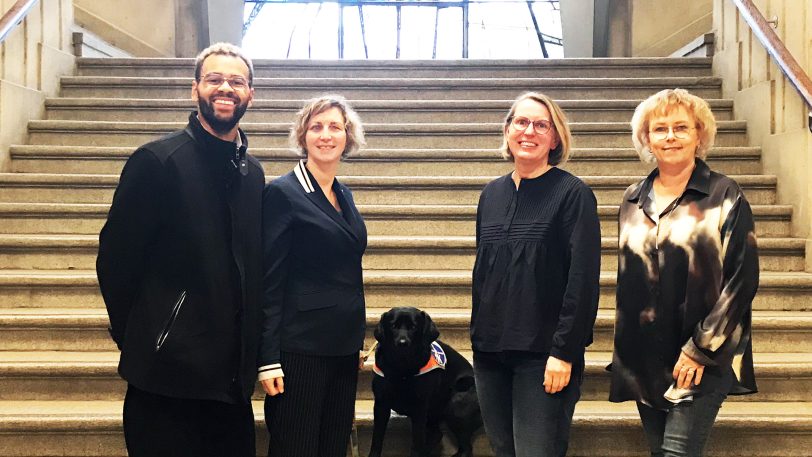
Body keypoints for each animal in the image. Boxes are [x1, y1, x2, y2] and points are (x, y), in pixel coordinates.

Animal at [370, 306, 482, 456]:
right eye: (393, 326)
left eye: (413, 327)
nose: (402, 344)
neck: (402, 369)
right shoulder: (381, 405)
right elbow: (377, 439)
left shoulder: (419, 408)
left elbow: (416, 443)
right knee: (437, 435)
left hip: (456, 405)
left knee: (465, 448)